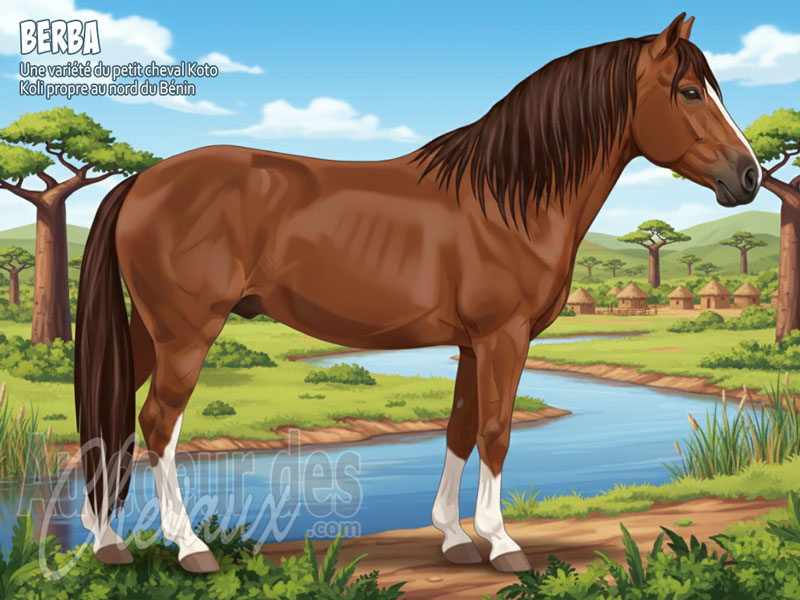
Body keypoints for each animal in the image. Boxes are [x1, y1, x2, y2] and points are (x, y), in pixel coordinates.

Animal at [74, 13, 760, 573]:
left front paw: (455, 538)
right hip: (187, 331)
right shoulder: (503, 336)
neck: (509, 200)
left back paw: (107, 540)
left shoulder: (473, 344)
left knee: (117, 413)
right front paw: (502, 543)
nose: (749, 177)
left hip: (151, 329)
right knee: (159, 423)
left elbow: (460, 428)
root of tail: (141, 181)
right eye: (690, 91)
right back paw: (190, 547)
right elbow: (497, 430)